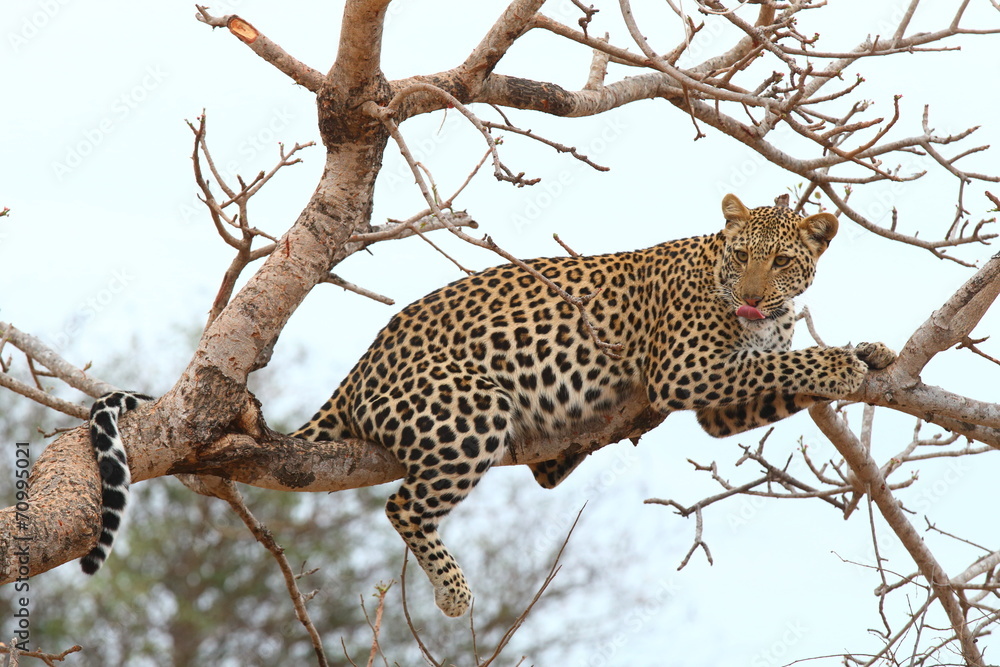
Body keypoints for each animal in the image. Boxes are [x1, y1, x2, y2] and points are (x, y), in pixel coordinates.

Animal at [82, 193, 895, 618]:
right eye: (739, 256)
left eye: (782, 259)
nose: (752, 295)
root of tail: (359, 372)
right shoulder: (691, 370)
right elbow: (789, 361)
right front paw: (841, 359)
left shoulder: (722, 403)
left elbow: (778, 374)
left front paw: (874, 352)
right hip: (470, 410)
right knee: (403, 506)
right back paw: (453, 593)